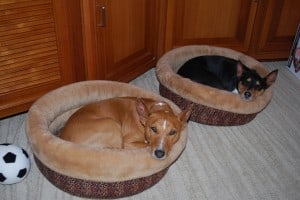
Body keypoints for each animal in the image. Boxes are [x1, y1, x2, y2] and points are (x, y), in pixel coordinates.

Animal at [60, 96, 191, 160]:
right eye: (153, 129)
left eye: (173, 132)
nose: (159, 154)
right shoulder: (128, 142)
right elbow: (146, 144)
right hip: (111, 124)